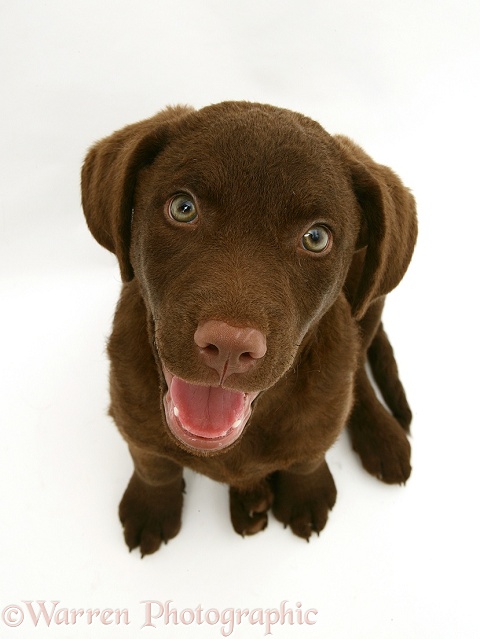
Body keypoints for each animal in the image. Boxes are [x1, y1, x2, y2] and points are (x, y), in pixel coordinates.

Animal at [81, 100, 416, 556]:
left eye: (316, 238)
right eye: (183, 208)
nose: (228, 345)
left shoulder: (323, 408)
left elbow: (309, 453)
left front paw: (306, 494)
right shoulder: (129, 408)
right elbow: (152, 461)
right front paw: (152, 507)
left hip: (371, 299)